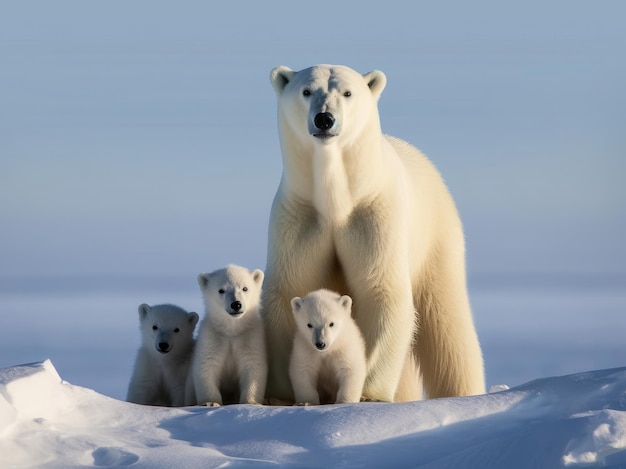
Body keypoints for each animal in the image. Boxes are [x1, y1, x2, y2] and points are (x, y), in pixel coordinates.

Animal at [193, 264, 266, 406]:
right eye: (221, 290)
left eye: (245, 288)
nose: (236, 304)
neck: (232, 331)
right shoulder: (213, 337)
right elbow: (207, 365)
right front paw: (210, 402)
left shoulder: (250, 337)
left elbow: (253, 366)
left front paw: (251, 402)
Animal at [260, 63, 486, 402]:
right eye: (306, 90)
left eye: (347, 92)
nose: (324, 119)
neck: (336, 202)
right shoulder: (299, 219)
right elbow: (290, 289)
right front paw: (281, 395)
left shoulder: (374, 216)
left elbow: (382, 289)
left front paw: (369, 394)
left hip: (437, 237)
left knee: (448, 330)